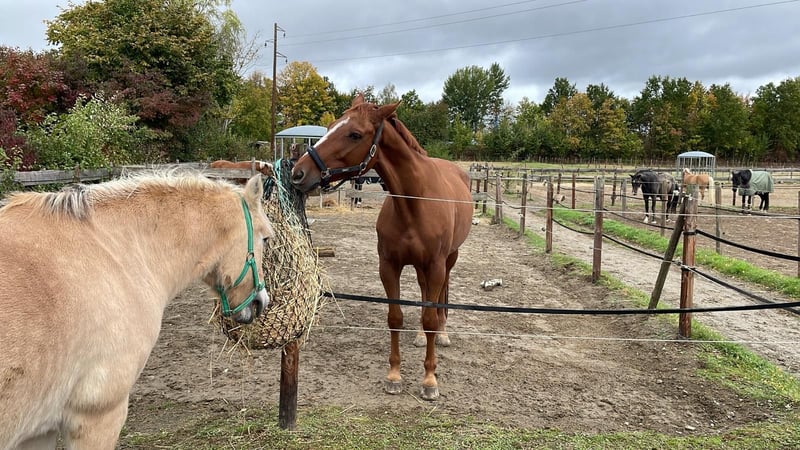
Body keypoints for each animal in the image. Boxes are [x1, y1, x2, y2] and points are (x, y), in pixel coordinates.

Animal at [290, 94, 473, 401]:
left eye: (354, 134)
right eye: (329, 126)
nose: (298, 173)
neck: (414, 202)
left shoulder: (435, 265)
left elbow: (430, 317)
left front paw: (429, 379)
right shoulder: (389, 266)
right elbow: (395, 317)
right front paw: (394, 375)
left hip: (450, 259)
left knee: (440, 296)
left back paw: (443, 333)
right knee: (424, 293)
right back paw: (420, 336)